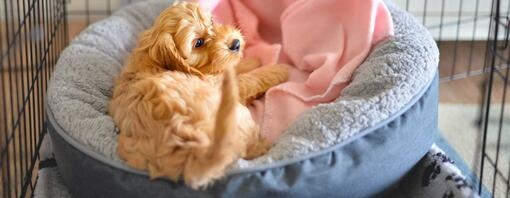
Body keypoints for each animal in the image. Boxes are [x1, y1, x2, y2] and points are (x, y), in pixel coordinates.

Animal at [108, 1, 288, 190]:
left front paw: (251, 61)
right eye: (199, 43)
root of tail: (197, 149)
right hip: (238, 115)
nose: (236, 43)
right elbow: (250, 79)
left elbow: (230, 67)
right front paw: (278, 70)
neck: (154, 60)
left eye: (212, 21)